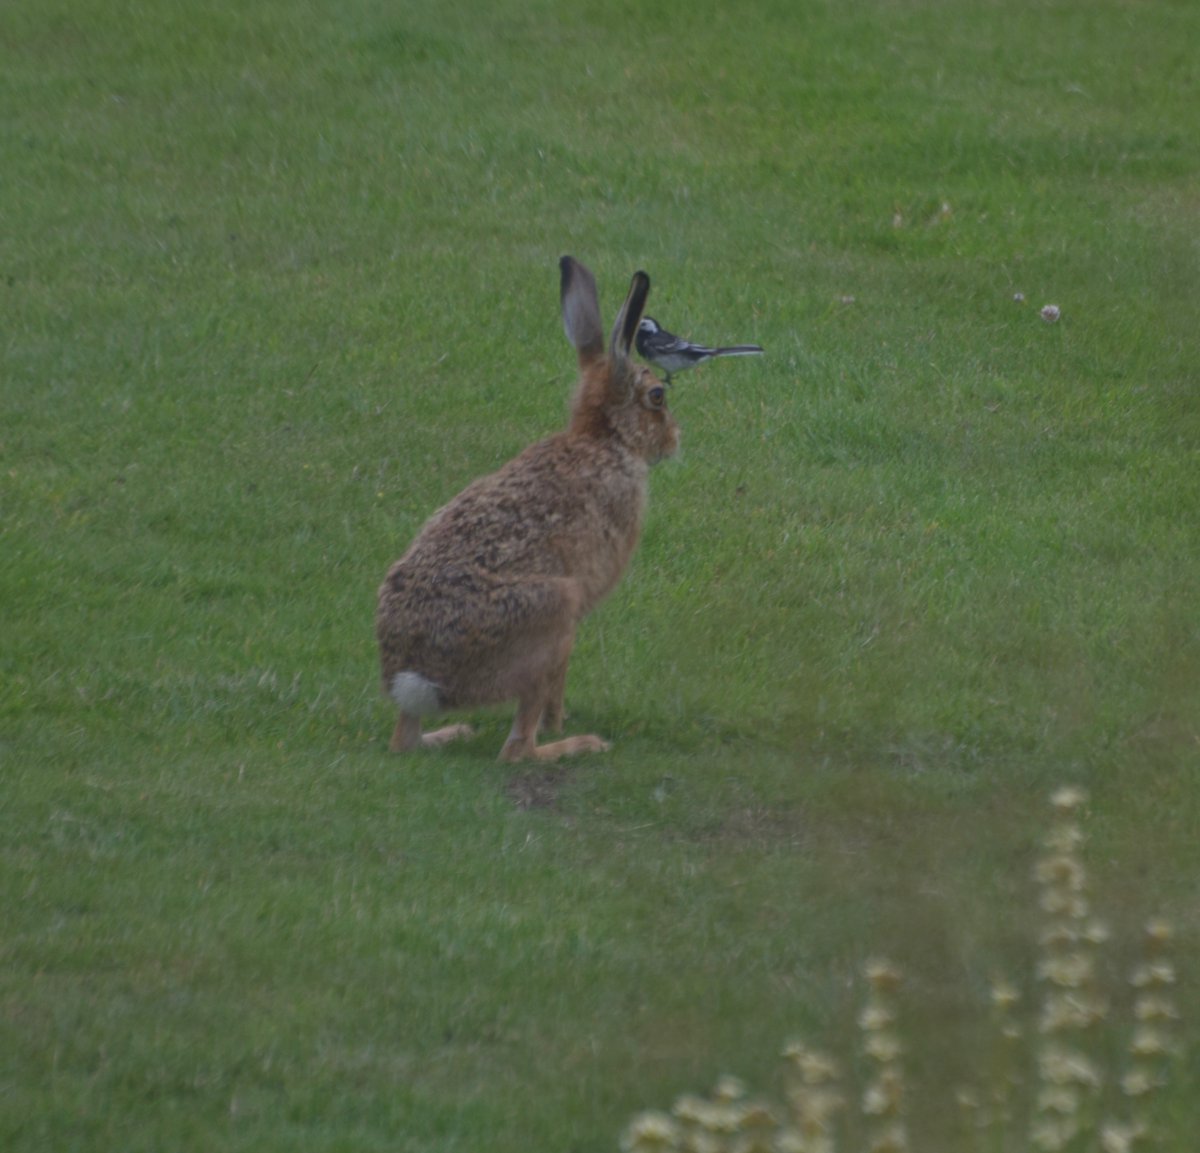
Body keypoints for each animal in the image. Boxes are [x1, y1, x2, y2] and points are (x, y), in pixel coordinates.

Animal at [376, 256, 680, 762]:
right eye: (657, 397)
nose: (676, 439)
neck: (604, 438)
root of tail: (420, 681)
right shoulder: (573, 617)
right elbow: (557, 689)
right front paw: (561, 722)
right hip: (551, 615)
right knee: (516, 750)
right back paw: (576, 745)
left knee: (405, 740)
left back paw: (453, 733)